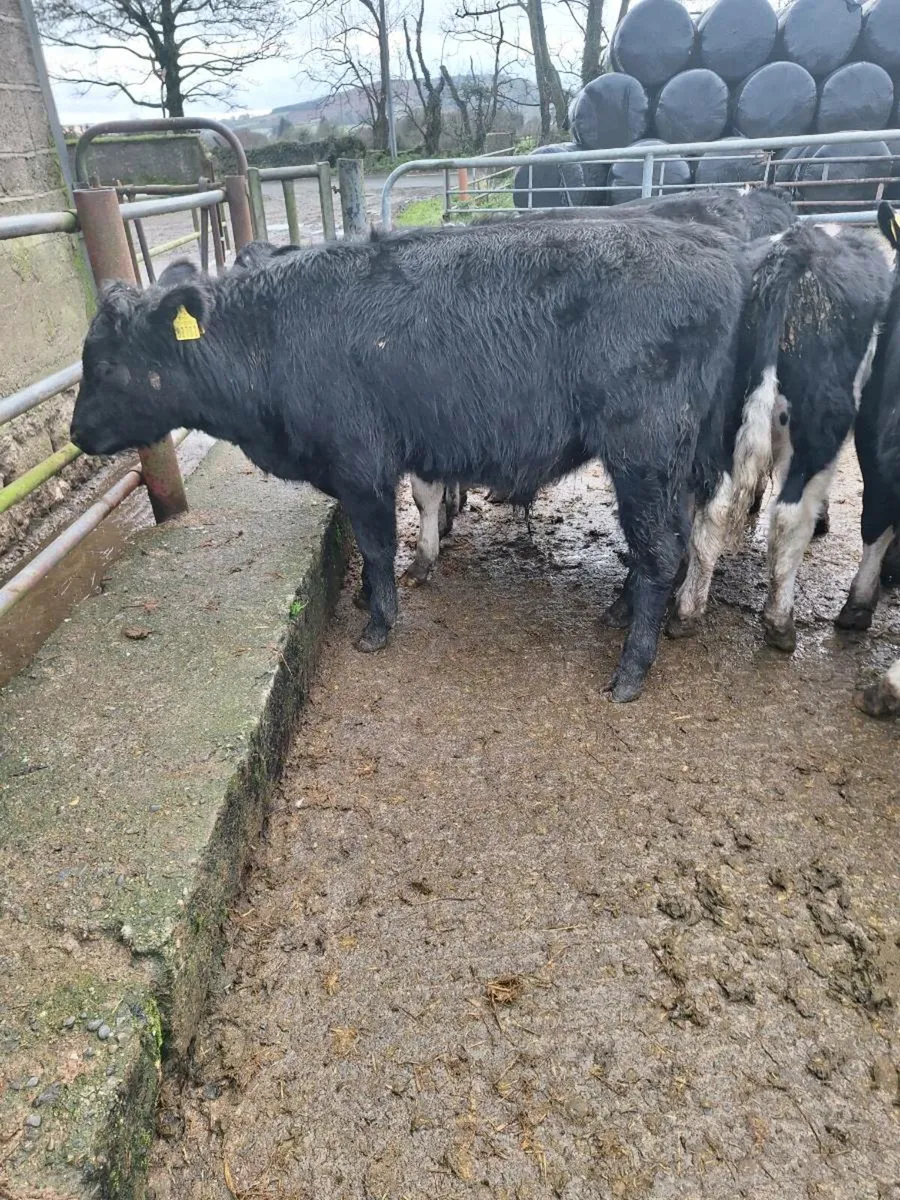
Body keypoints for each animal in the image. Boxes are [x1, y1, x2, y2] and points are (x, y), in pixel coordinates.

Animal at [69, 217, 769, 702]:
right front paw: (365, 601)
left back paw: (630, 668)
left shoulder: (361, 463)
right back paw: (619, 613)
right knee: (668, 542)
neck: (272, 339)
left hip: (644, 451)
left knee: (661, 552)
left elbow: (378, 544)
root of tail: (717, 250)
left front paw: (377, 624)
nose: (75, 434)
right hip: (673, 461)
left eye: (105, 365)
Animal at [668, 219, 894, 654]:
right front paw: (860, 605)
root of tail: (794, 247)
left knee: (714, 504)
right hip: (819, 428)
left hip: (719, 418)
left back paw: (687, 609)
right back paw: (780, 621)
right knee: (791, 516)